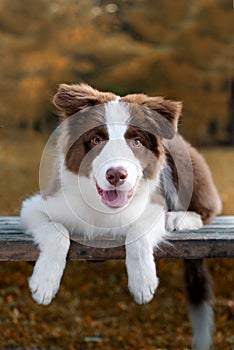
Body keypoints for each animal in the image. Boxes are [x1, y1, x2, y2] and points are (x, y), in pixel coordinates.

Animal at [20, 82, 221, 350]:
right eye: (96, 140)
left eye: (136, 142)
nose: (116, 175)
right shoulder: (34, 207)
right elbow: (58, 232)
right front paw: (44, 283)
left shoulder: (155, 204)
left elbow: (138, 232)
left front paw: (143, 282)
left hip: (184, 162)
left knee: (209, 209)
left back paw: (181, 218)